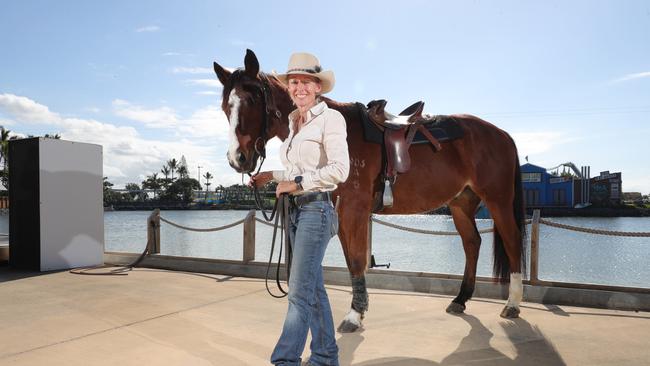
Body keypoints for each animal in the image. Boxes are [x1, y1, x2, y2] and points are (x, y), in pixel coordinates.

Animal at [214, 48, 528, 332]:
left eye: (251, 99)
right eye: (225, 107)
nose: (238, 158)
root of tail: (502, 135)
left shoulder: (354, 210)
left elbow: (356, 260)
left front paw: (355, 315)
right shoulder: (341, 211)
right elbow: (352, 259)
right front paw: (359, 309)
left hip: (498, 200)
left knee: (512, 241)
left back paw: (512, 304)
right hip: (461, 203)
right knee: (472, 243)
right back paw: (460, 299)